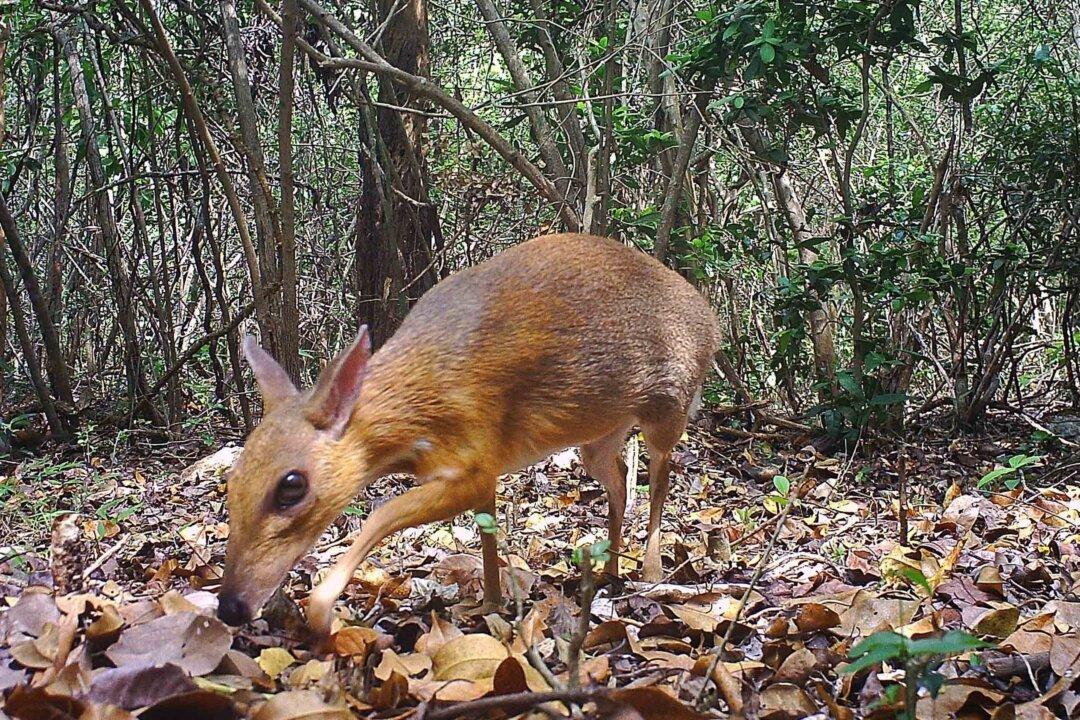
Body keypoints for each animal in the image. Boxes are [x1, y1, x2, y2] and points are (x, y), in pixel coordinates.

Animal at [216, 233, 721, 638]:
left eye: (291, 486)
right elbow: (486, 529)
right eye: (231, 481)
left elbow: (381, 514)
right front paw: (491, 603)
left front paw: (321, 612)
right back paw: (610, 569)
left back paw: (651, 570)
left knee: (660, 478)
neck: (420, 402)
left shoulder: (474, 456)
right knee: (617, 478)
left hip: (669, 405)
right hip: (599, 435)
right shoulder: (483, 467)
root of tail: (712, 319)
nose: (229, 606)